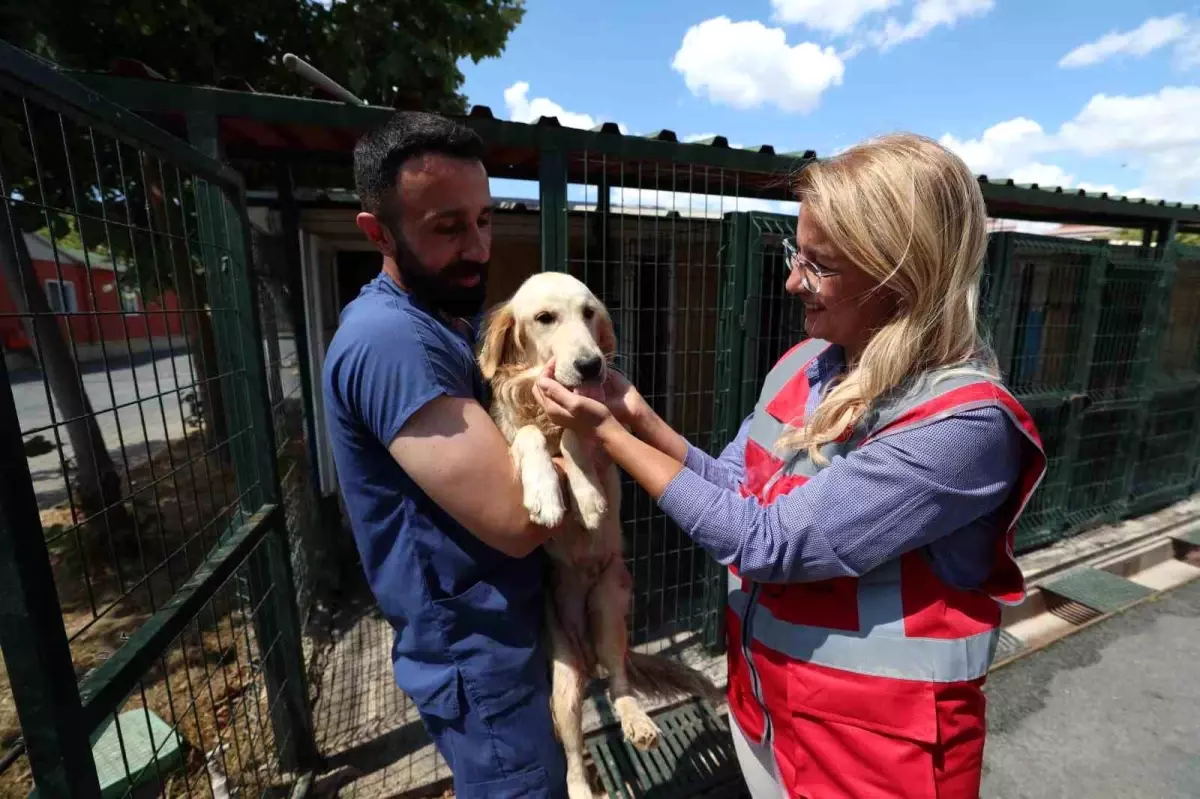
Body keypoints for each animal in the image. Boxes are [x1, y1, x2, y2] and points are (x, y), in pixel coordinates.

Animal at [475, 272, 720, 796]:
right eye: (545, 318)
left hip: (610, 606)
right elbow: (530, 437)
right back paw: (581, 786)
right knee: (571, 754)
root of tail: (585, 651)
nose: (590, 365)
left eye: (589, 313)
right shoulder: (510, 435)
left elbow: (578, 435)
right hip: (564, 683)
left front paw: (587, 498)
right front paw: (547, 495)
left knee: (618, 679)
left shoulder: (596, 432)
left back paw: (636, 721)